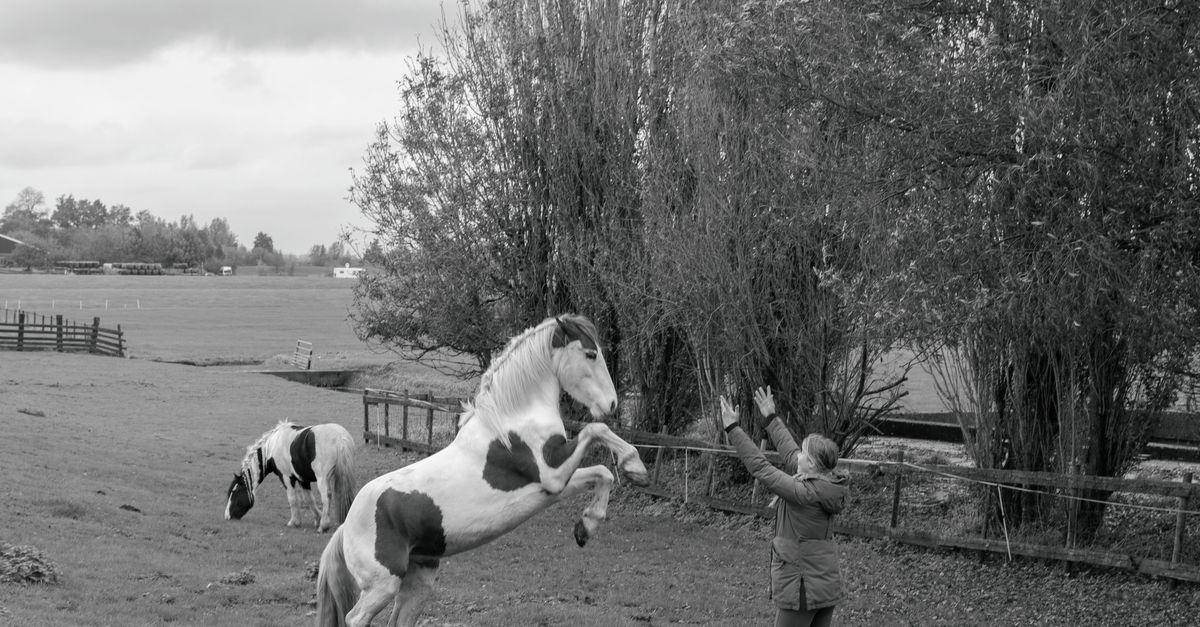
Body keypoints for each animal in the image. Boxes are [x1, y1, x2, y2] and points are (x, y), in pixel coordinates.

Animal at [225, 421, 357, 533]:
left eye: (234, 492)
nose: (227, 516)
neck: (272, 446)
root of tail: (340, 437)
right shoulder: (303, 480)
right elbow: (309, 500)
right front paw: (317, 518)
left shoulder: (286, 477)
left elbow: (292, 499)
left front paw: (295, 522)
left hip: (322, 478)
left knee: (326, 497)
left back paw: (323, 526)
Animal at [316, 315, 650, 626]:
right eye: (590, 354)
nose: (612, 404)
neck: (514, 418)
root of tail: (346, 526)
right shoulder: (553, 472)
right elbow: (596, 430)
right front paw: (635, 465)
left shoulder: (553, 486)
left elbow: (603, 472)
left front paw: (586, 527)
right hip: (382, 585)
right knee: (355, 617)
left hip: (420, 578)